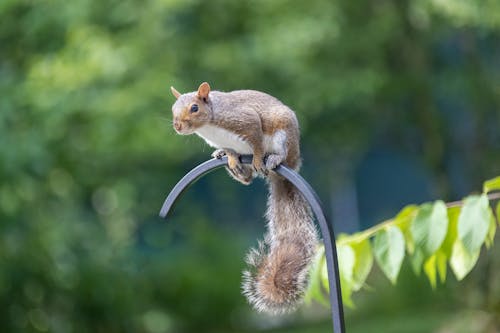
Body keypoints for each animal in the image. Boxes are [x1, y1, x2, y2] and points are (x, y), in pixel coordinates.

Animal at [170, 81, 318, 312]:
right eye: (173, 108)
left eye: (194, 108)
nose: (177, 126)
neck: (210, 126)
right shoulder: (227, 141)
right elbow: (231, 150)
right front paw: (228, 155)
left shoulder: (246, 120)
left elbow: (256, 143)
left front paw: (256, 158)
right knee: (247, 179)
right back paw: (231, 164)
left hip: (283, 134)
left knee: (280, 154)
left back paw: (273, 159)